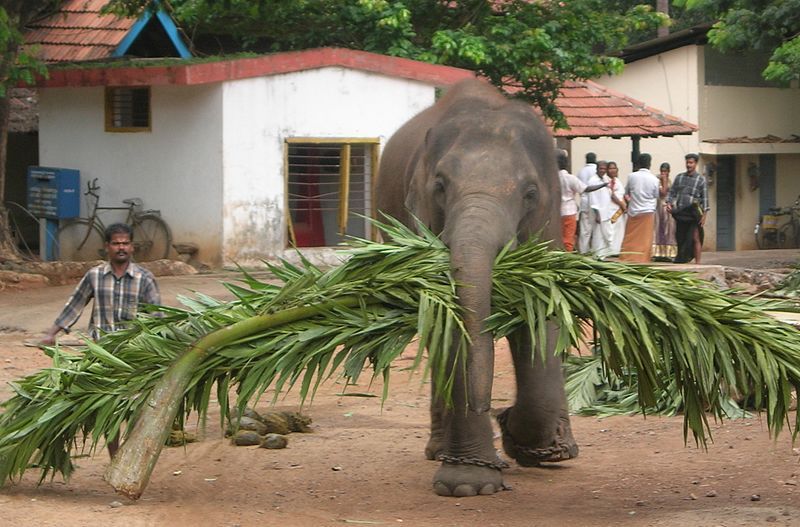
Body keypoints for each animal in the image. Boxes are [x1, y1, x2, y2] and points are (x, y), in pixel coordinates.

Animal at [376, 79, 576, 500]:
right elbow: (452, 323)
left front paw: (531, 445)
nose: (492, 409)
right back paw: (439, 450)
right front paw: (469, 486)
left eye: (530, 192)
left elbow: (540, 309)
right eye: (440, 186)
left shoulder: (547, 224)